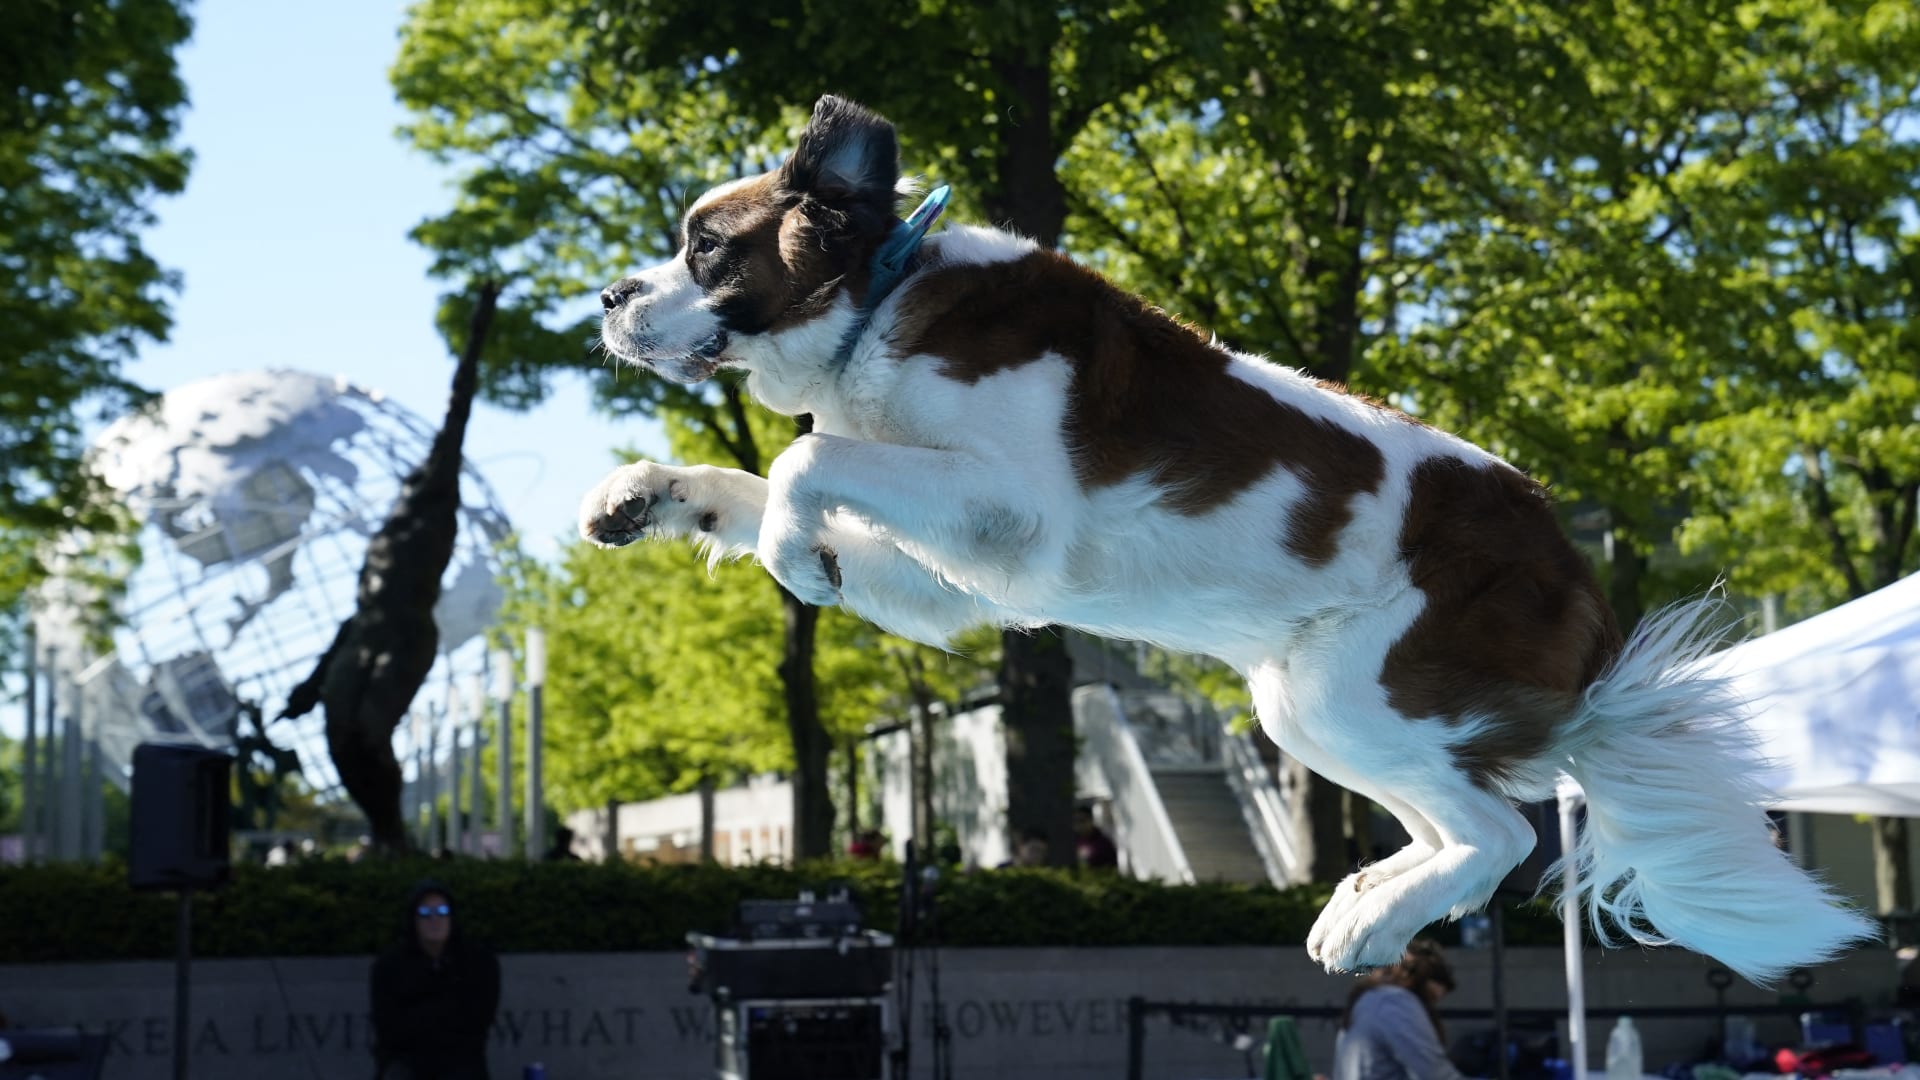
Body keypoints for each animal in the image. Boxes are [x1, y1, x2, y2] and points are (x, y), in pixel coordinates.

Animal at [583, 96, 1873, 980]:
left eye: (707, 246)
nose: (607, 296)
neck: (874, 303)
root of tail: (1578, 578)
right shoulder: (969, 577)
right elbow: (755, 482)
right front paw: (645, 494)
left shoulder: (1012, 504)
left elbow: (798, 464)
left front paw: (798, 551)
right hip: (1310, 710)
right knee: (1457, 825)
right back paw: (1371, 902)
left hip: (1356, 692)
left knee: (1501, 833)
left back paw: (1376, 914)